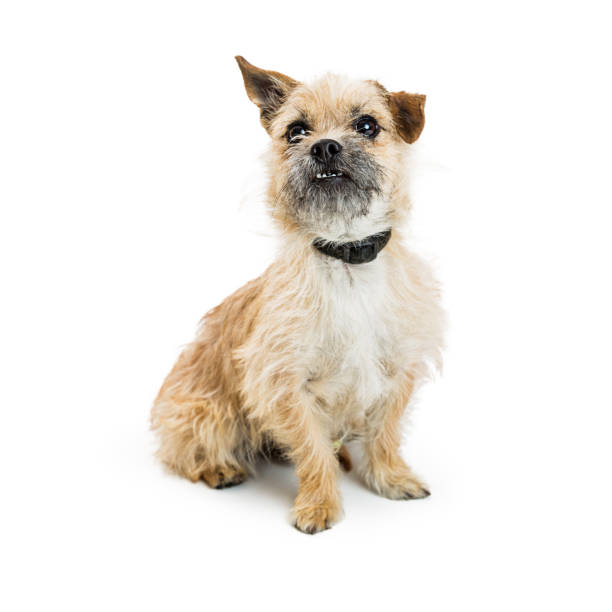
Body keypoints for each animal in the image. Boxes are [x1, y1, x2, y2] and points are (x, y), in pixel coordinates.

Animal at [150, 58, 442, 536]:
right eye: (296, 131)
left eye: (367, 125)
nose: (324, 147)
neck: (347, 258)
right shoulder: (285, 384)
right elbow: (311, 449)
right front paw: (319, 504)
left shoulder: (398, 370)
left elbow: (385, 433)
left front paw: (391, 478)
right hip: (205, 412)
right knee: (184, 449)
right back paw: (218, 468)